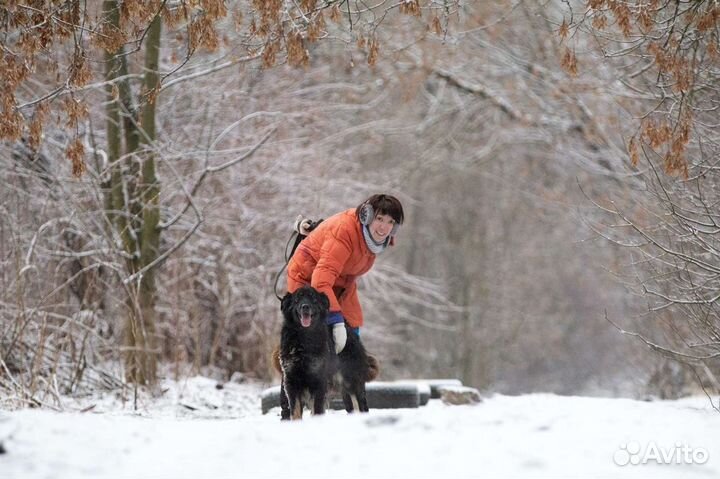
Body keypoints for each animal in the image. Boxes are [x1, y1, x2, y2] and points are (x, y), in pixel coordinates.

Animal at [280, 286, 372, 422]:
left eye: (313, 298)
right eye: (297, 299)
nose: (305, 306)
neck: (304, 337)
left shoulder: (318, 380)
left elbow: (317, 409)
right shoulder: (291, 380)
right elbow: (295, 411)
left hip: (353, 380)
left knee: (362, 405)